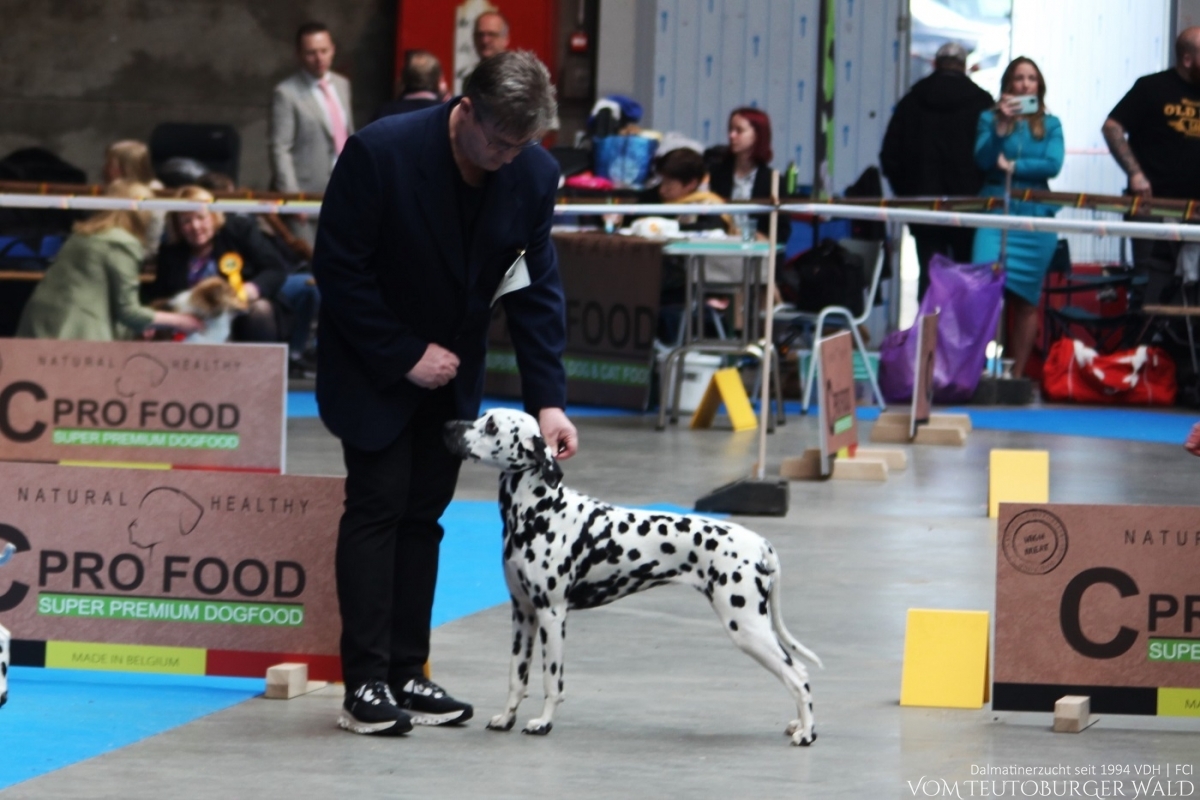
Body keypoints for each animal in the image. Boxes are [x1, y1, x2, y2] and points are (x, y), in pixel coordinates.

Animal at [444, 410, 825, 748]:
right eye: (482, 415)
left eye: (491, 426)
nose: (451, 425)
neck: (539, 511)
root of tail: (760, 543)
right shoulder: (522, 613)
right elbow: (516, 678)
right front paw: (506, 718)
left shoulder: (551, 615)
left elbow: (552, 681)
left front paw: (543, 723)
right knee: (799, 675)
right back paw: (798, 725)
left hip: (747, 627)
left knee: (798, 676)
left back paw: (807, 733)